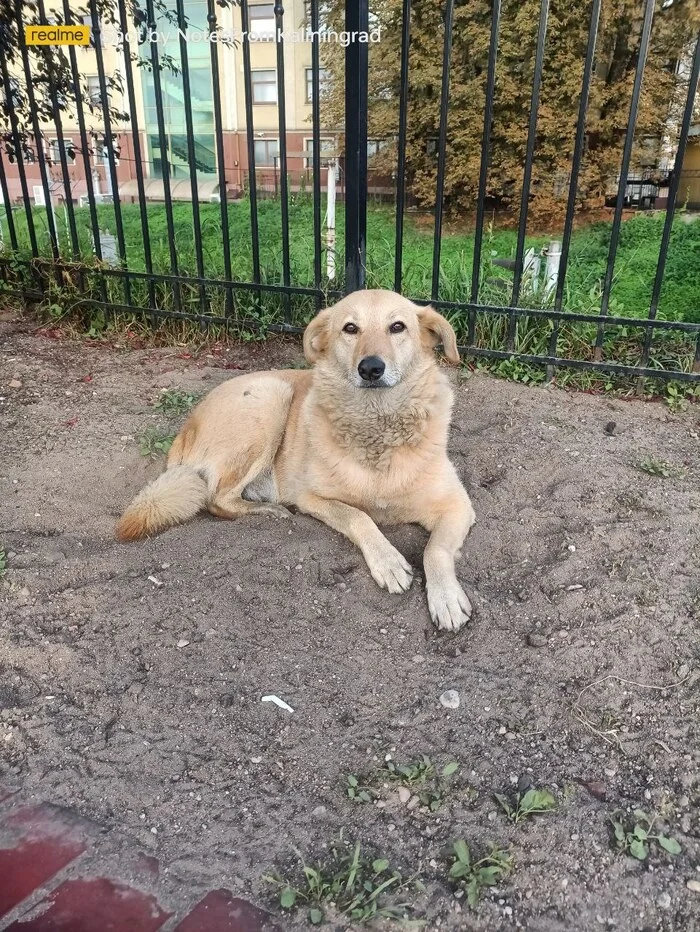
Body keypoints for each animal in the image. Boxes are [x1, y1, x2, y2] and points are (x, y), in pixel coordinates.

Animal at [117, 288, 476, 628]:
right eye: (350, 328)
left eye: (397, 326)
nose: (371, 368)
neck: (377, 427)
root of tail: (185, 428)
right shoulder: (311, 497)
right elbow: (359, 516)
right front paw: (388, 561)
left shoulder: (457, 506)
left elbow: (435, 550)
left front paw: (445, 597)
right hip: (269, 400)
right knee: (216, 499)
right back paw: (267, 510)